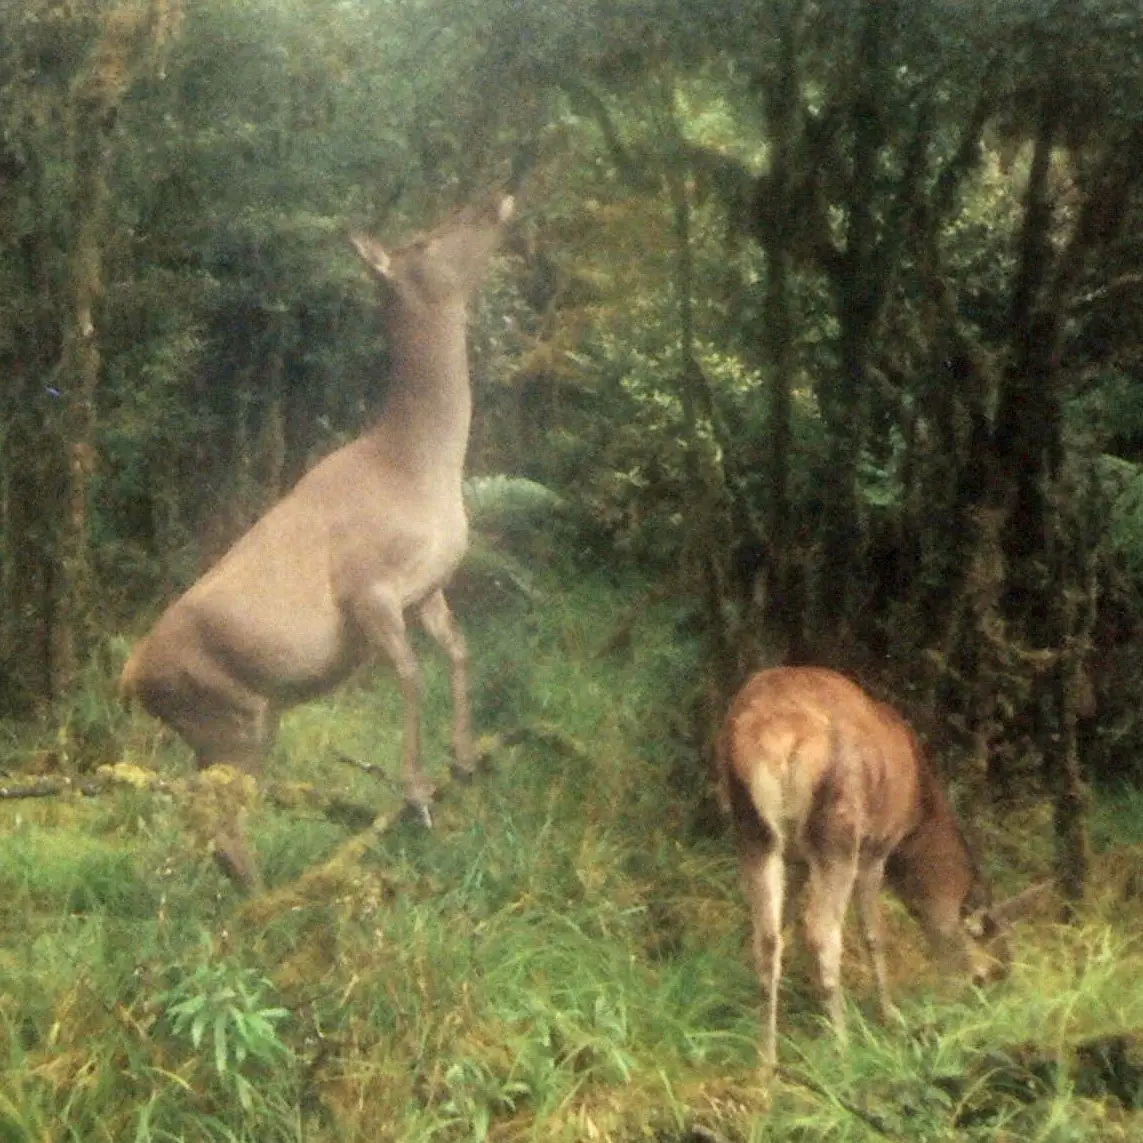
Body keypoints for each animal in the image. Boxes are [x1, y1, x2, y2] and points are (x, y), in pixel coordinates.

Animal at [120, 191, 516, 890]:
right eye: (423, 239)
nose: (495, 197)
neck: (420, 467)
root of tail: (128, 677)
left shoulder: (428, 586)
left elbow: (458, 651)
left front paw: (465, 757)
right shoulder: (368, 586)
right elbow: (410, 673)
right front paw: (415, 792)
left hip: (237, 724)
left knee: (211, 821)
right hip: (228, 719)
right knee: (223, 822)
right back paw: (270, 900)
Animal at [716, 666, 1044, 1068]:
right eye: (985, 976)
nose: (980, 1017)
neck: (918, 807)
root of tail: (781, 737)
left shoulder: (797, 861)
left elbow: (783, 928)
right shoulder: (877, 846)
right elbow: (875, 935)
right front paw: (890, 1016)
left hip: (752, 831)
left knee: (766, 936)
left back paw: (766, 1059)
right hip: (839, 832)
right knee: (822, 929)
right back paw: (842, 1044)